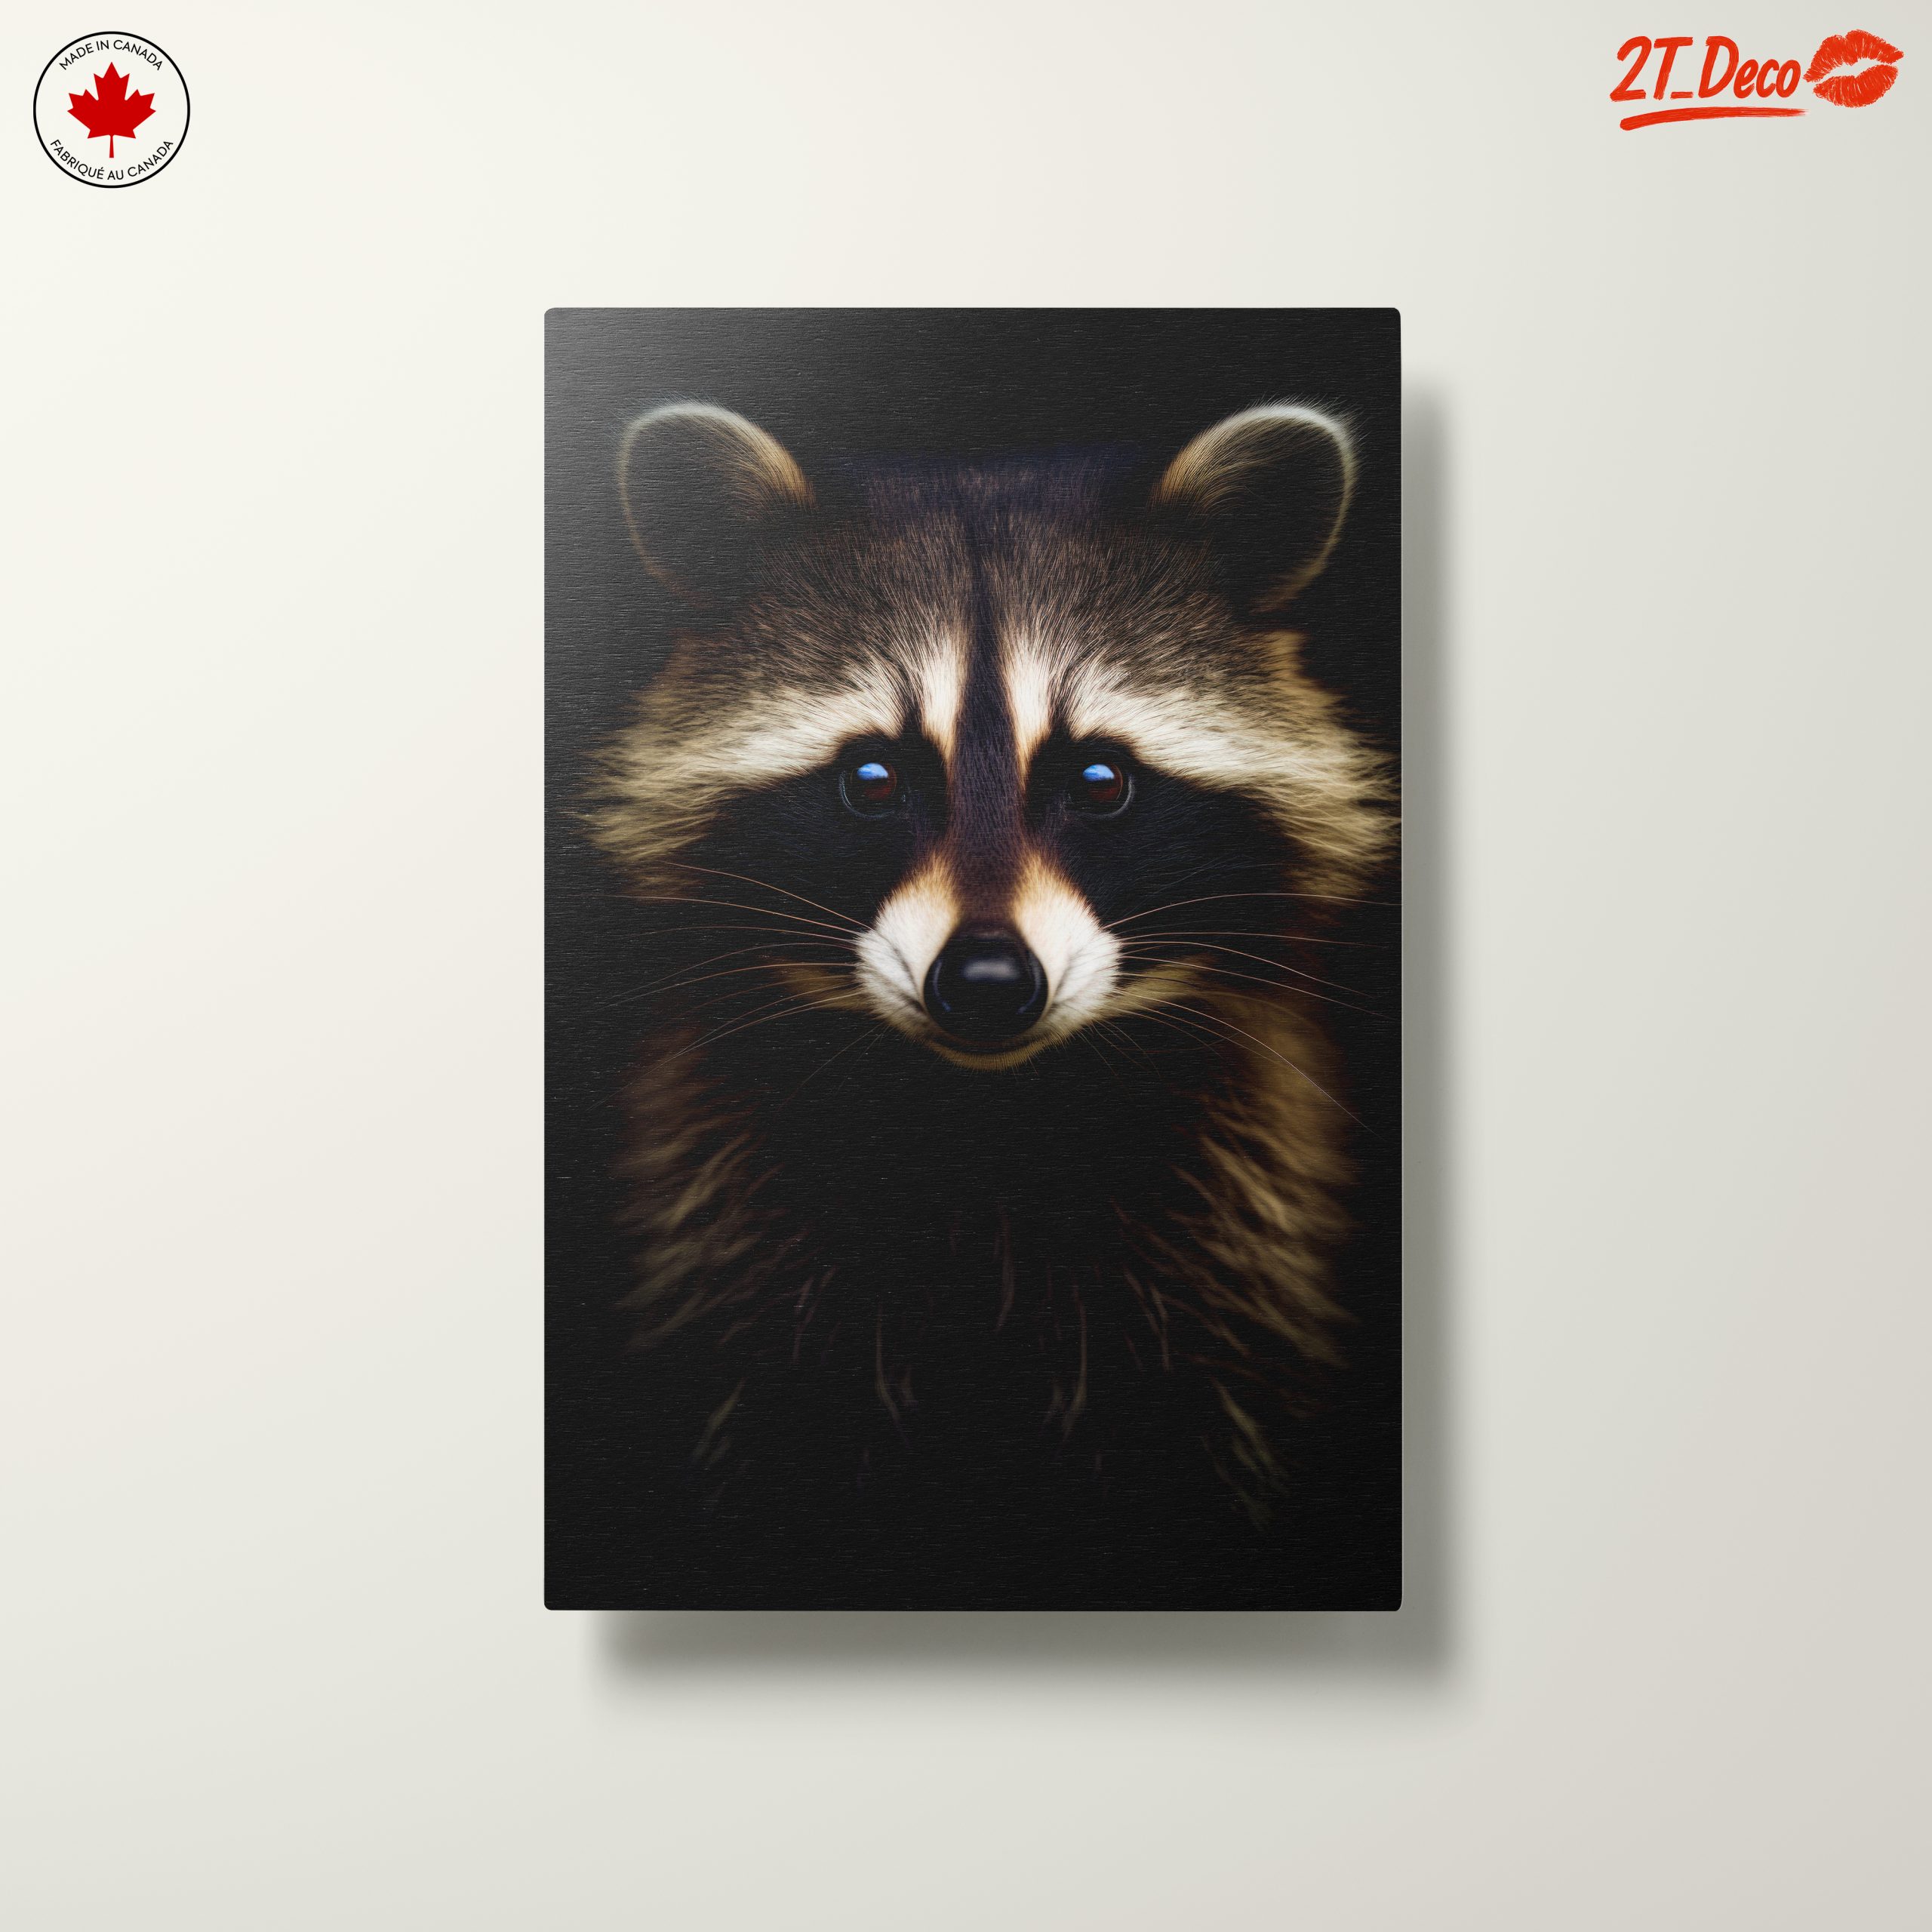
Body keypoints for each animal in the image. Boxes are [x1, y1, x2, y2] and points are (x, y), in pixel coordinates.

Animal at [590, 400, 1395, 1526]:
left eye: (1099, 779)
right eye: (872, 779)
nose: (985, 986)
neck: (984, 1121)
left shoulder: (1237, 1229)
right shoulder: (727, 1229)